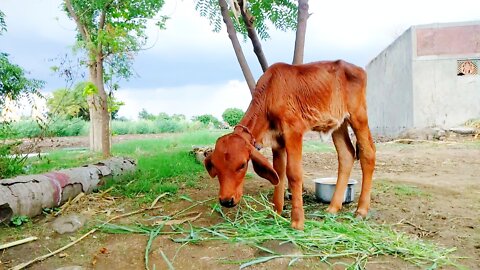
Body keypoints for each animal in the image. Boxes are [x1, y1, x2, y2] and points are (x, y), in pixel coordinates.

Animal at [202, 60, 376, 229]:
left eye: (243, 165)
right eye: (215, 166)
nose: (226, 201)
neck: (270, 93)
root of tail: (357, 68)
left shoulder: (293, 131)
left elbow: (293, 173)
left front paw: (297, 221)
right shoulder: (277, 141)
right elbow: (278, 173)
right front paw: (275, 213)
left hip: (358, 115)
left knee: (368, 152)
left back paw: (361, 210)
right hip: (338, 123)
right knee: (346, 154)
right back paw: (333, 208)